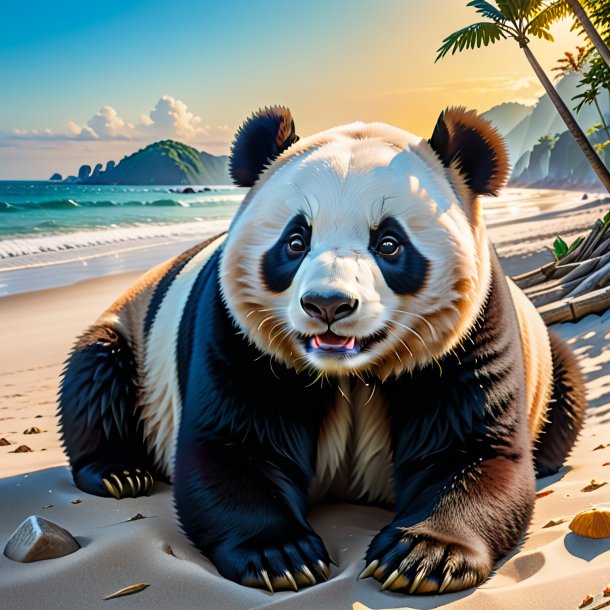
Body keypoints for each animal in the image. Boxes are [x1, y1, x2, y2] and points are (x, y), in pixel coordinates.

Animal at [58, 105, 584, 592]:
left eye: (389, 243)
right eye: (296, 240)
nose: (328, 304)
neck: (350, 373)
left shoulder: (468, 336)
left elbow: (473, 450)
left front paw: (426, 555)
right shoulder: (239, 336)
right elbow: (231, 444)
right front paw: (280, 554)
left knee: (566, 390)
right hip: (135, 338)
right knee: (97, 372)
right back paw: (118, 472)